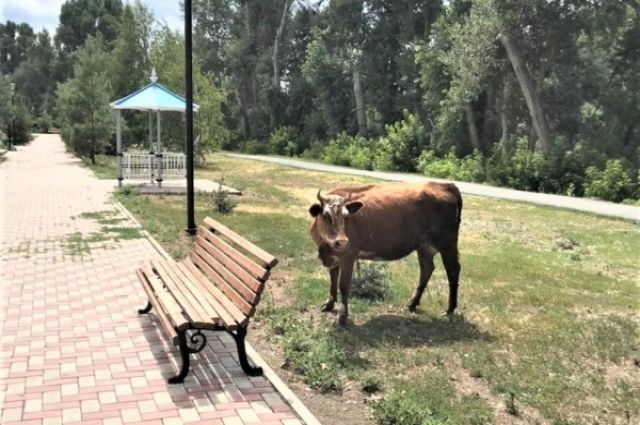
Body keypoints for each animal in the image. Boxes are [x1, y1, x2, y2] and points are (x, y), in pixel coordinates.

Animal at [308, 182, 462, 324]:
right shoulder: (333, 256)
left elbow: (343, 285)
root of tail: (443, 184)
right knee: (427, 269)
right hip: (424, 247)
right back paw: (412, 304)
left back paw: (449, 309)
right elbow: (333, 279)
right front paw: (329, 303)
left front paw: (342, 317)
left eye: (346, 217)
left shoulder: (348, 255)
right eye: (326, 216)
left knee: (453, 270)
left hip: (447, 244)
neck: (325, 245)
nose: (342, 241)